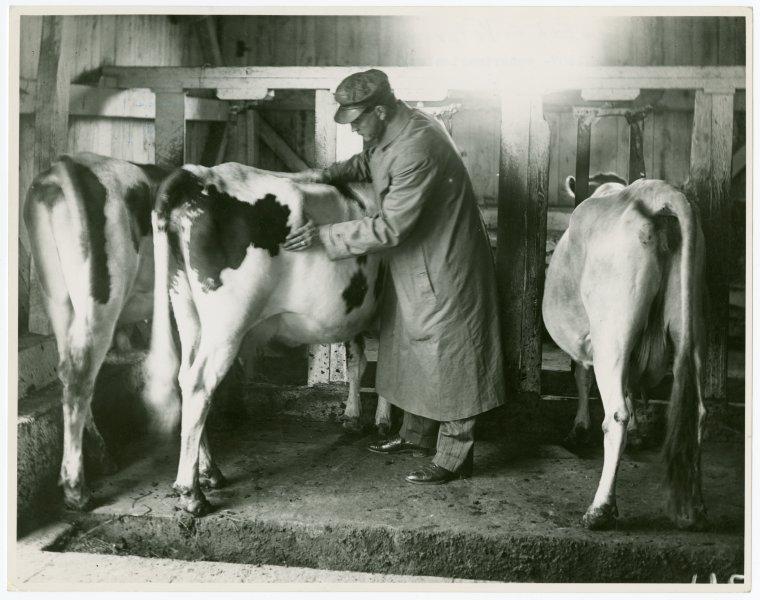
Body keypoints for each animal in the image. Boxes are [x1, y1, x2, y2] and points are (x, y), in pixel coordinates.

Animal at [23, 152, 166, 511]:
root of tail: (67, 166)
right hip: (100, 300)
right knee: (80, 376)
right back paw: (77, 490)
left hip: (58, 299)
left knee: (69, 373)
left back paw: (101, 459)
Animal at [143, 162, 391, 516]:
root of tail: (199, 175)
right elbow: (386, 364)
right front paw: (383, 421)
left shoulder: (356, 311)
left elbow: (356, 359)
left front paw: (354, 417)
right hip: (227, 321)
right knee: (200, 384)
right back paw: (191, 493)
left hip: (187, 309)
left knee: (185, 377)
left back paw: (210, 472)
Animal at [542, 176, 707, 530]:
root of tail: (657, 193)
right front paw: (638, 434)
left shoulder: (587, 337)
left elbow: (581, 376)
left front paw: (578, 429)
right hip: (692, 325)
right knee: (697, 412)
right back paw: (696, 509)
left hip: (612, 332)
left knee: (615, 415)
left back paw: (600, 509)